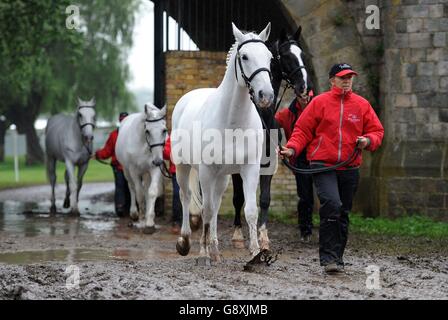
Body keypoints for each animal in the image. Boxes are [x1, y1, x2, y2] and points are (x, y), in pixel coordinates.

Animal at [115, 104, 168, 234]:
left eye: (164, 130)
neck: (144, 145)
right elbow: (139, 193)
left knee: (146, 189)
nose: (158, 160)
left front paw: (149, 222)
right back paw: (134, 213)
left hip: (146, 172)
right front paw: (142, 219)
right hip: (126, 170)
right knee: (132, 187)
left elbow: (152, 192)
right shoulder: (134, 170)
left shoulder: (154, 169)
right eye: (147, 131)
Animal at [172, 21, 274, 262]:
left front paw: (255, 253)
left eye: (270, 57)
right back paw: (187, 242)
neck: (232, 121)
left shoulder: (249, 169)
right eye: (244, 56)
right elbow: (206, 210)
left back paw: (214, 248)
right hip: (184, 167)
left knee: (216, 205)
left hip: (223, 177)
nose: (266, 95)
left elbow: (250, 210)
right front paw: (204, 252)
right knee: (187, 197)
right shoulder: (207, 170)